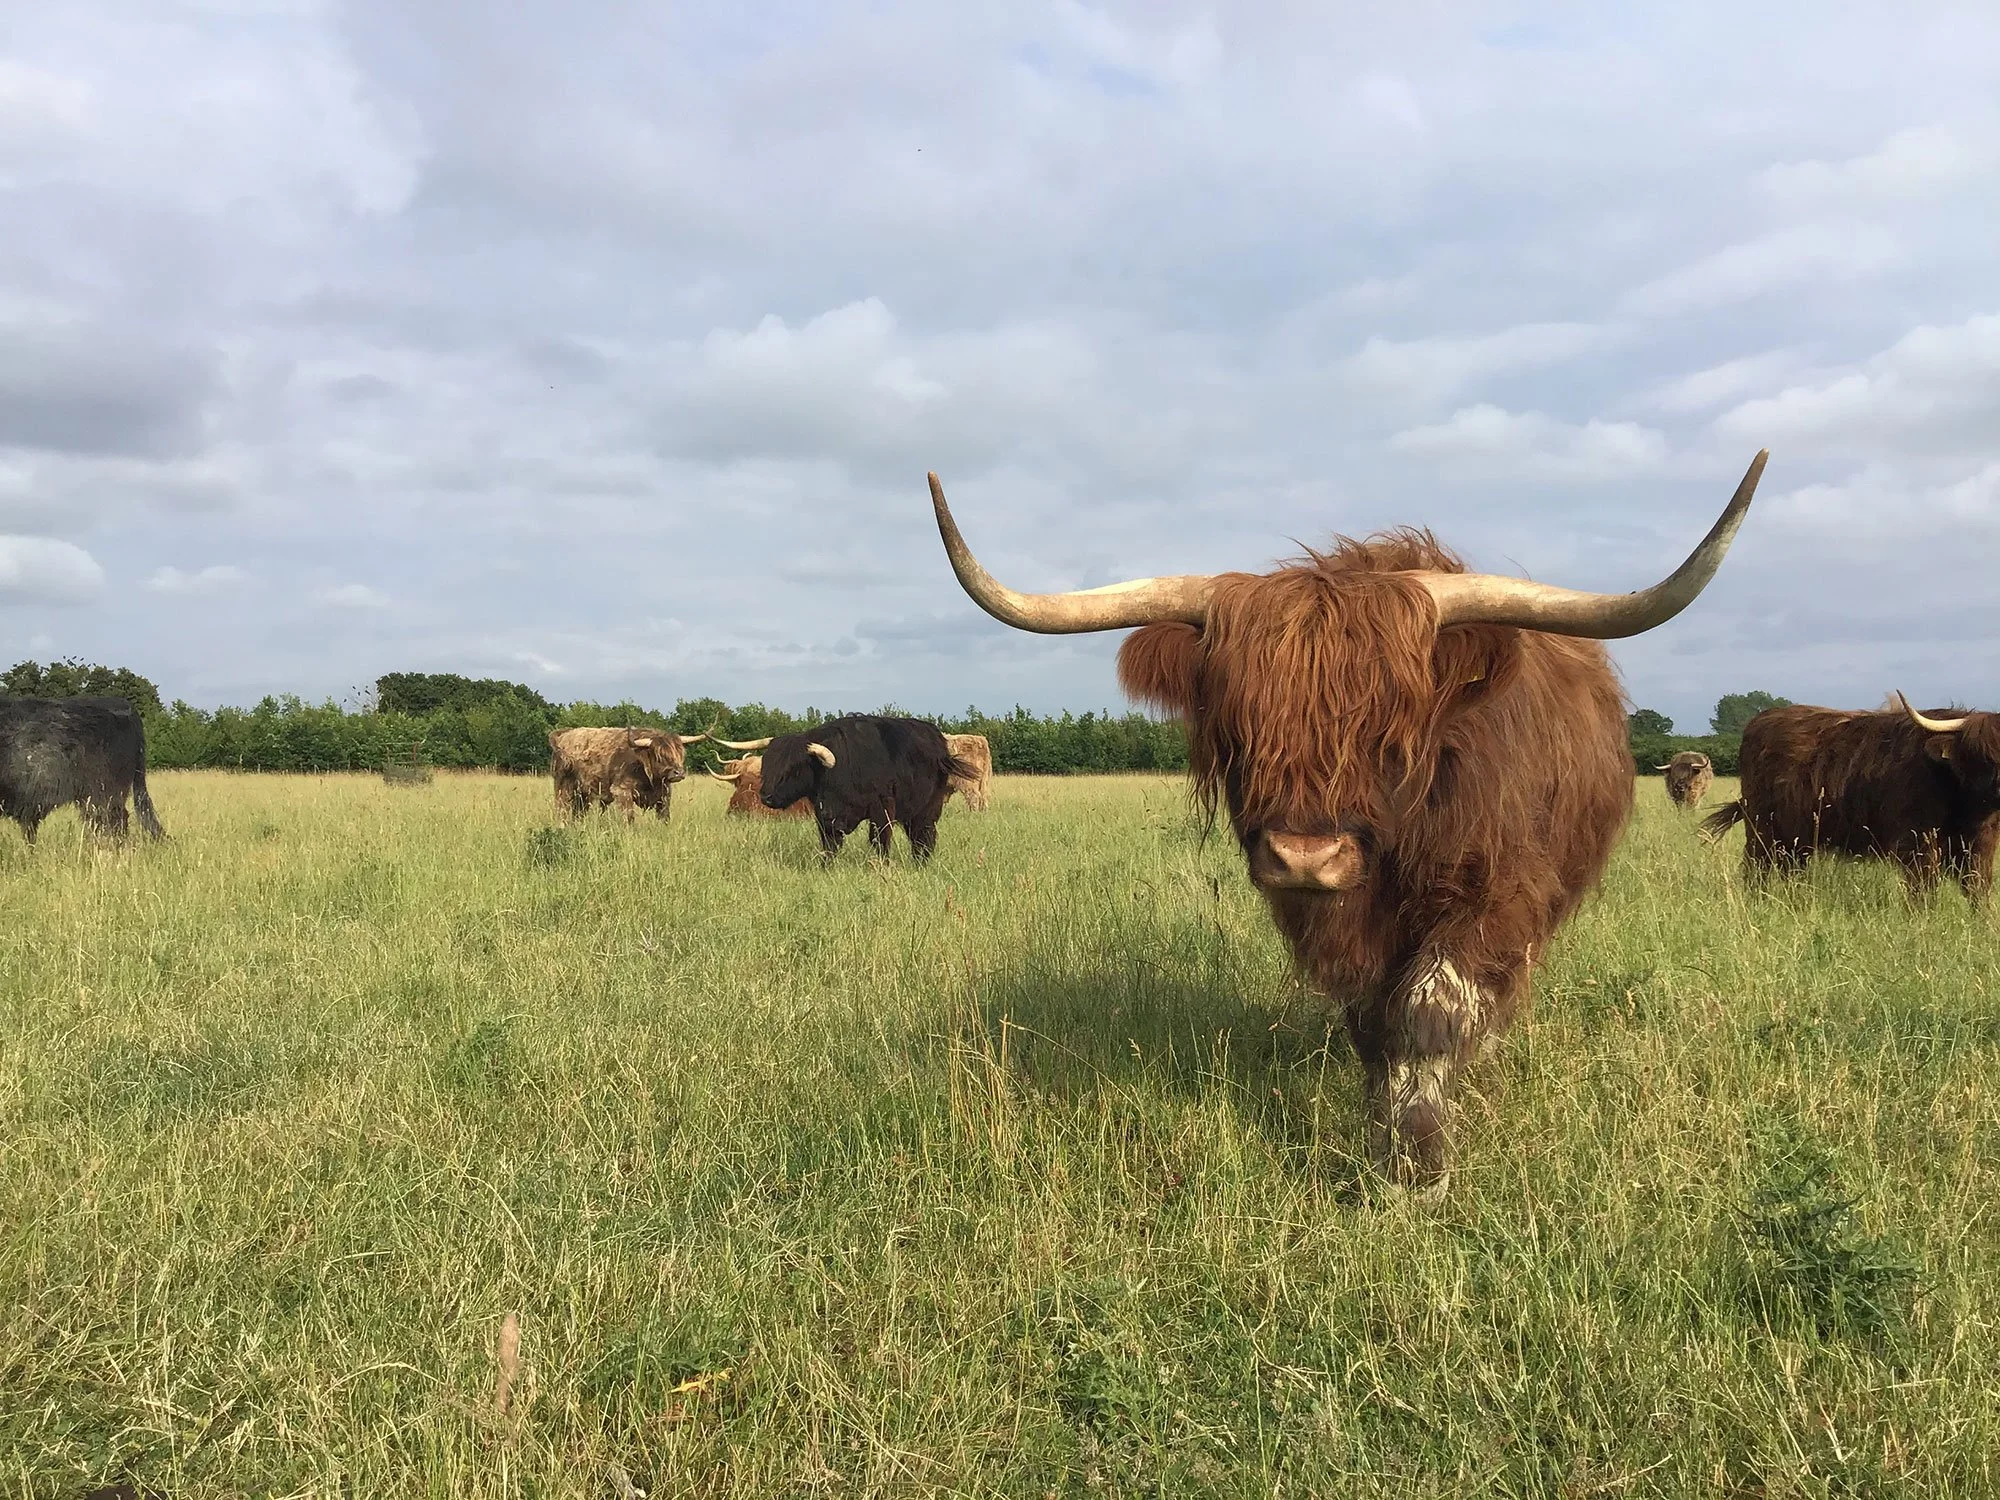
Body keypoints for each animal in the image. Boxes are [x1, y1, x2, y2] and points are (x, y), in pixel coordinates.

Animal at [548, 726, 707, 823]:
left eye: (680, 754)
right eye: (659, 755)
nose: (678, 772)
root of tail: (563, 735)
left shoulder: (664, 793)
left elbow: (664, 816)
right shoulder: (622, 791)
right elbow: (629, 817)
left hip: (584, 794)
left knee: (578, 813)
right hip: (563, 787)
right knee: (562, 809)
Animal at [713, 717, 975, 862]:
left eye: (793, 768)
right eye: (767, 763)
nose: (766, 796)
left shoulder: (882, 810)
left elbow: (880, 841)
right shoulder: (825, 815)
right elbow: (829, 845)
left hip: (928, 809)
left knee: (925, 837)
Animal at [922, 452, 1768, 1187]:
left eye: (1389, 731)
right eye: (1238, 726)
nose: (1305, 856)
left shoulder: (1498, 891)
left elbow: (1434, 1006)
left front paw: (1417, 1163)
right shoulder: (1338, 922)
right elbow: (1373, 1020)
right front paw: (1381, 1125)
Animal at [1699, 695, 2000, 902]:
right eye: (1981, 754)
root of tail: (1761, 720)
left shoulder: (1981, 843)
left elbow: (1978, 887)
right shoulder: (1917, 841)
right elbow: (1923, 889)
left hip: (1797, 835)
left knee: (1791, 868)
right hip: (1761, 827)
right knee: (1756, 867)